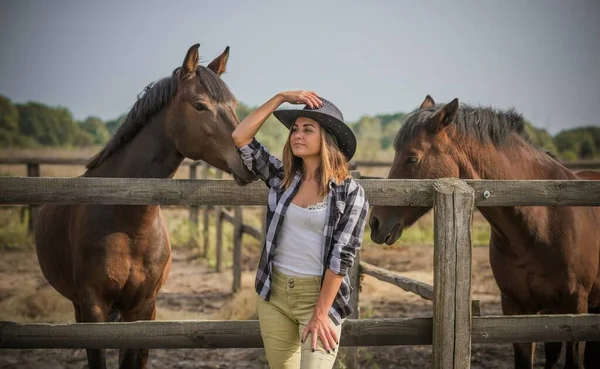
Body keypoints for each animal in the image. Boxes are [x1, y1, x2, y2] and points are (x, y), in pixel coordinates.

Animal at [34, 43, 255, 368]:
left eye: (234, 104)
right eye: (200, 106)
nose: (249, 160)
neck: (127, 223)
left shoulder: (143, 309)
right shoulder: (93, 307)